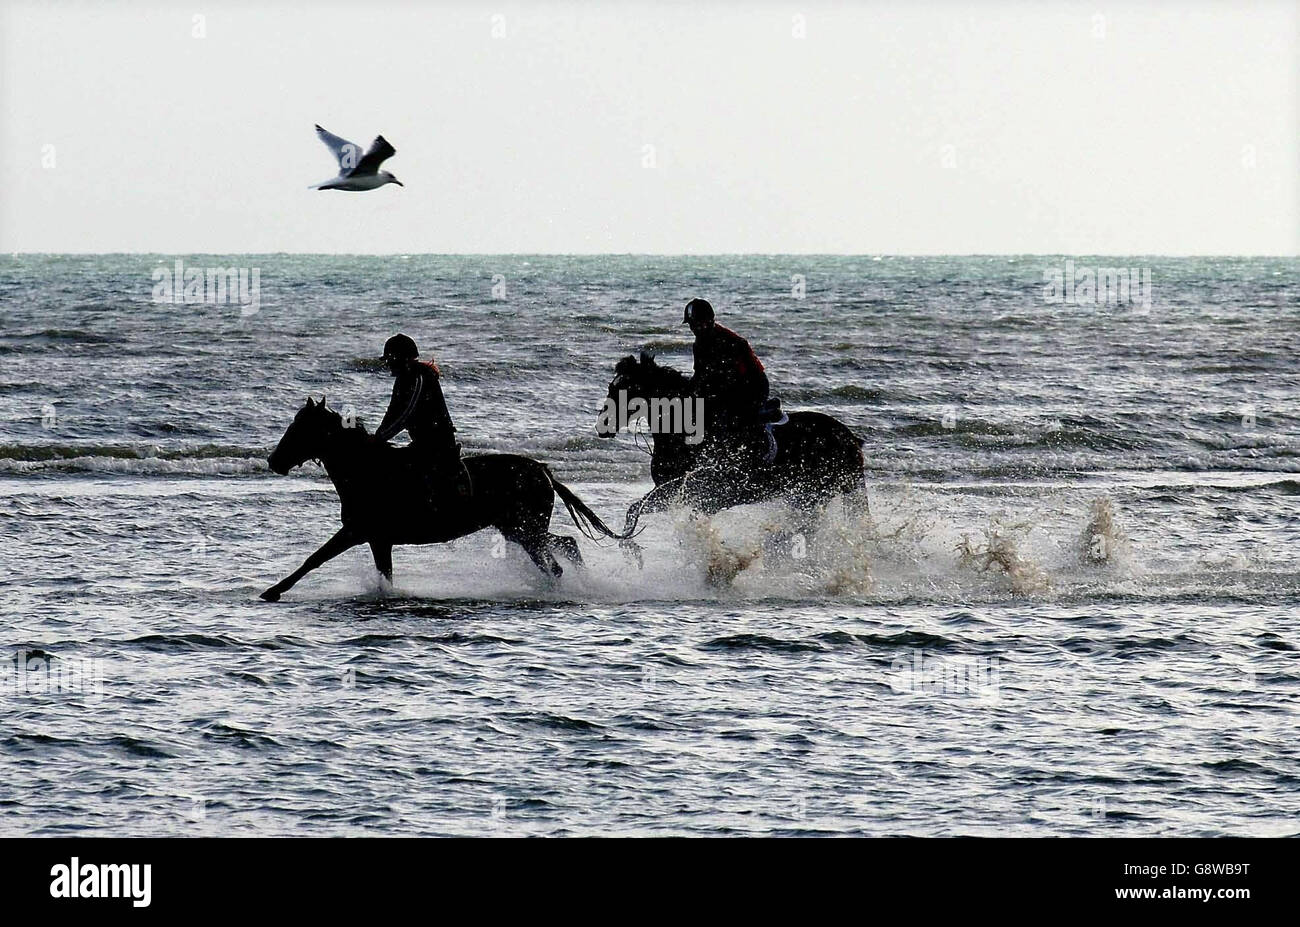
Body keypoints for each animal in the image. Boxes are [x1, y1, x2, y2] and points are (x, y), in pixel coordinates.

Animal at [258, 397, 624, 600]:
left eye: (300, 428)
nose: (274, 461)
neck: (367, 470)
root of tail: (542, 471)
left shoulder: (357, 532)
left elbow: (314, 559)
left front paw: (273, 590)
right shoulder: (378, 540)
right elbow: (383, 574)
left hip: (525, 530)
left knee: (556, 561)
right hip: (516, 530)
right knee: (566, 544)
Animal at [600, 353, 868, 543]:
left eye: (623, 389)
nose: (602, 426)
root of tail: (850, 438)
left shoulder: (705, 496)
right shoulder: (672, 493)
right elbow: (636, 509)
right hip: (810, 496)